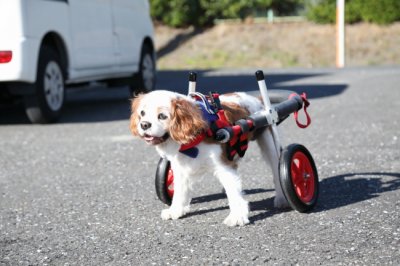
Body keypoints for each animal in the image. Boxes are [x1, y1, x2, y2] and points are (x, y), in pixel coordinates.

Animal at [130, 90, 290, 225]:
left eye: (162, 116)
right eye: (142, 113)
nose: (144, 124)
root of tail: (256, 99)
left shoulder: (224, 167)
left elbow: (234, 193)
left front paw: (237, 216)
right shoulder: (179, 169)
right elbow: (179, 191)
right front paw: (176, 210)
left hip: (269, 142)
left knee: (276, 170)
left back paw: (282, 198)